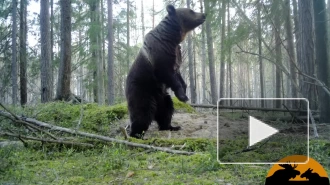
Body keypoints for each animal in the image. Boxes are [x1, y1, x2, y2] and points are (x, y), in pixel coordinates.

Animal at [125, 4, 205, 138]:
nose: (204, 14)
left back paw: (171, 126)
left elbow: (178, 75)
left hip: (162, 96)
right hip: (141, 90)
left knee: (166, 110)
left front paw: (184, 90)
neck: (171, 38)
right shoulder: (160, 55)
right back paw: (136, 134)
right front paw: (183, 96)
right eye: (191, 11)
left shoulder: (176, 54)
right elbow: (167, 74)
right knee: (142, 112)